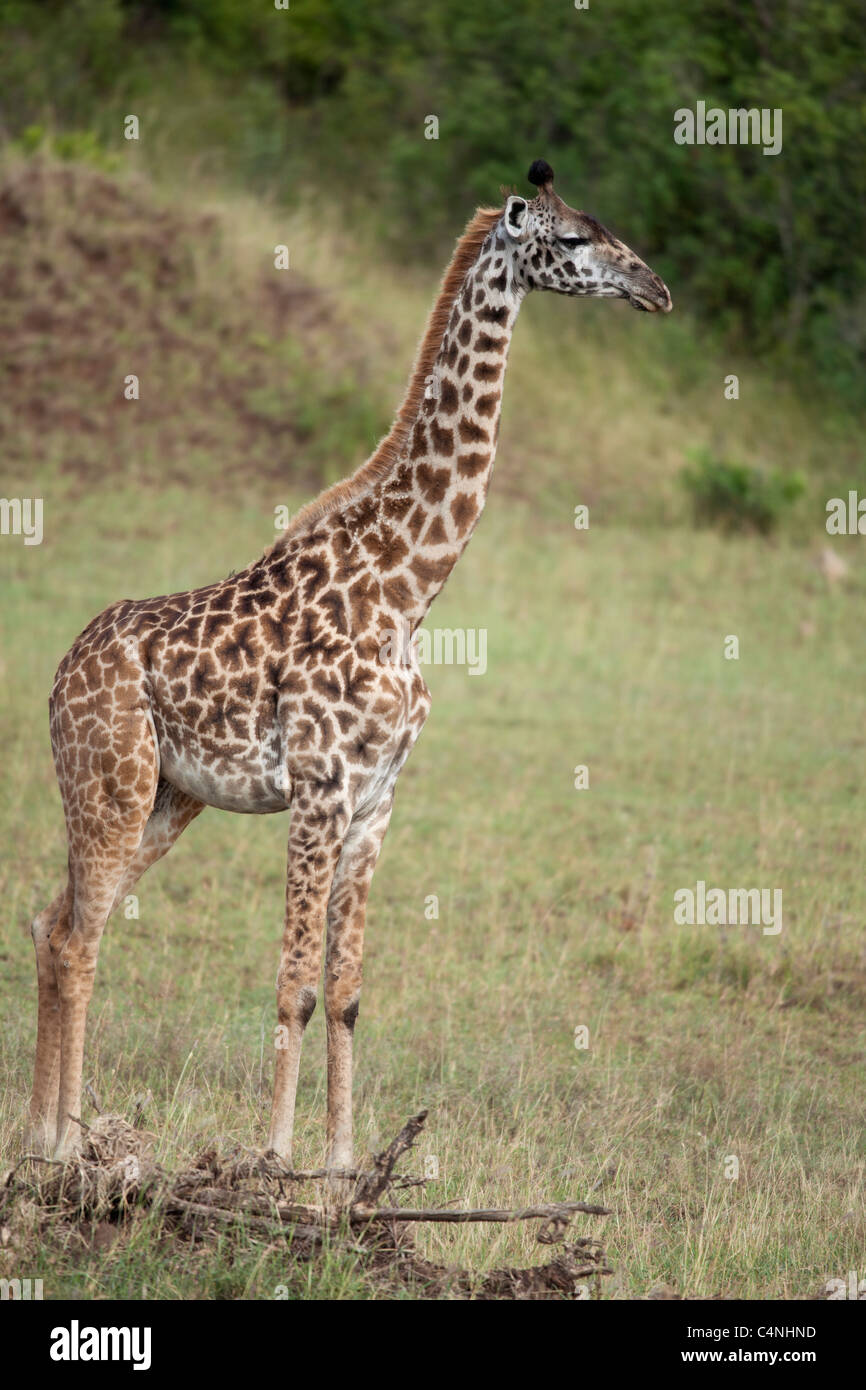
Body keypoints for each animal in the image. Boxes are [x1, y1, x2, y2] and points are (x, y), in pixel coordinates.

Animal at [27, 157, 675, 1167]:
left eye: (607, 228)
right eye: (572, 238)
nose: (655, 289)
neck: (411, 587)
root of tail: (61, 673)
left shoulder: (377, 802)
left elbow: (345, 992)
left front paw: (339, 1164)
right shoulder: (320, 788)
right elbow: (292, 984)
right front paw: (274, 1159)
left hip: (169, 800)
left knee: (53, 925)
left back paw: (36, 1139)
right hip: (110, 783)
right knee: (80, 939)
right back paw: (64, 1146)